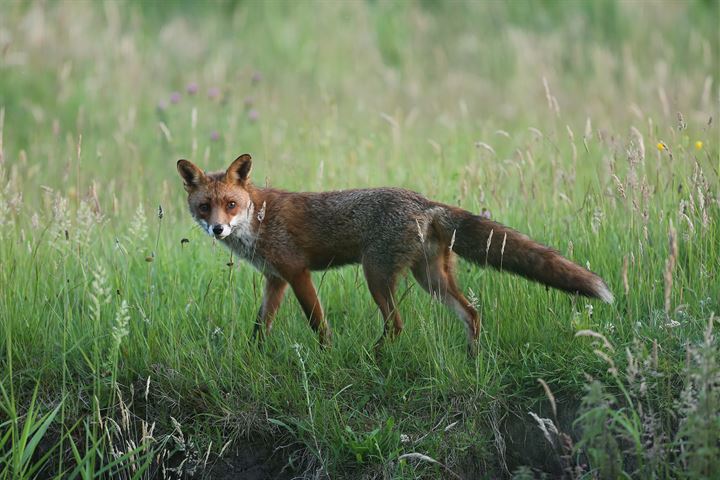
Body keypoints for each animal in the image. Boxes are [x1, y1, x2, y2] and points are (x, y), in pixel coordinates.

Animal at [179, 156, 612, 354]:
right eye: (205, 207)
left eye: (231, 205)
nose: (218, 229)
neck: (259, 219)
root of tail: (425, 202)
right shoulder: (275, 279)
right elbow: (259, 327)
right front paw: (253, 356)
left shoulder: (297, 272)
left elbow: (318, 324)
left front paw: (326, 355)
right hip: (430, 279)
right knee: (471, 313)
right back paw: (473, 357)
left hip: (377, 275)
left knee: (397, 325)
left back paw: (370, 357)